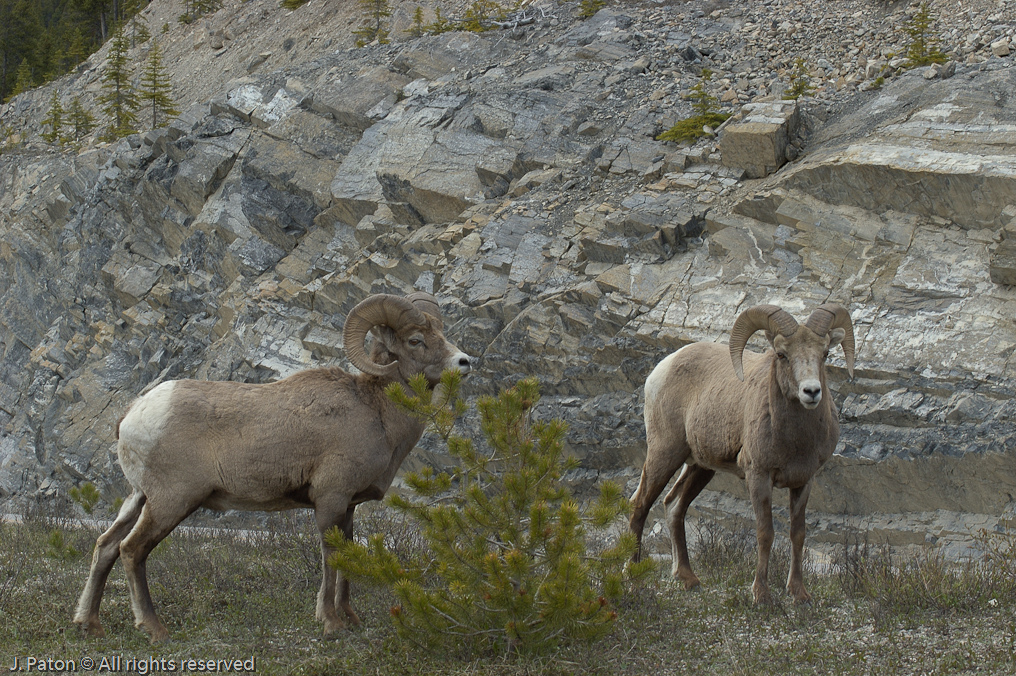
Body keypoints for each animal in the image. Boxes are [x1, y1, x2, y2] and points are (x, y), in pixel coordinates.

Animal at [74, 292, 471, 642]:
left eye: (441, 332)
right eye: (416, 340)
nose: (464, 363)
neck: (375, 412)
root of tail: (133, 414)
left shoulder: (349, 506)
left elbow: (346, 558)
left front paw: (351, 619)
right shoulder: (330, 500)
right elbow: (331, 560)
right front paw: (331, 624)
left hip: (138, 498)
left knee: (106, 545)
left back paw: (90, 625)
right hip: (171, 502)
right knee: (131, 550)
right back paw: (155, 630)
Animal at [629, 302, 853, 601]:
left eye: (825, 353)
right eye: (782, 354)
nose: (811, 392)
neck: (796, 441)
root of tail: (662, 369)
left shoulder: (804, 482)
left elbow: (798, 534)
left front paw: (799, 594)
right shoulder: (759, 476)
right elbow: (765, 533)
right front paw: (761, 594)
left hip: (700, 467)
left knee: (674, 506)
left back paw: (688, 578)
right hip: (664, 454)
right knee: (640, 505)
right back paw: (632, 576)